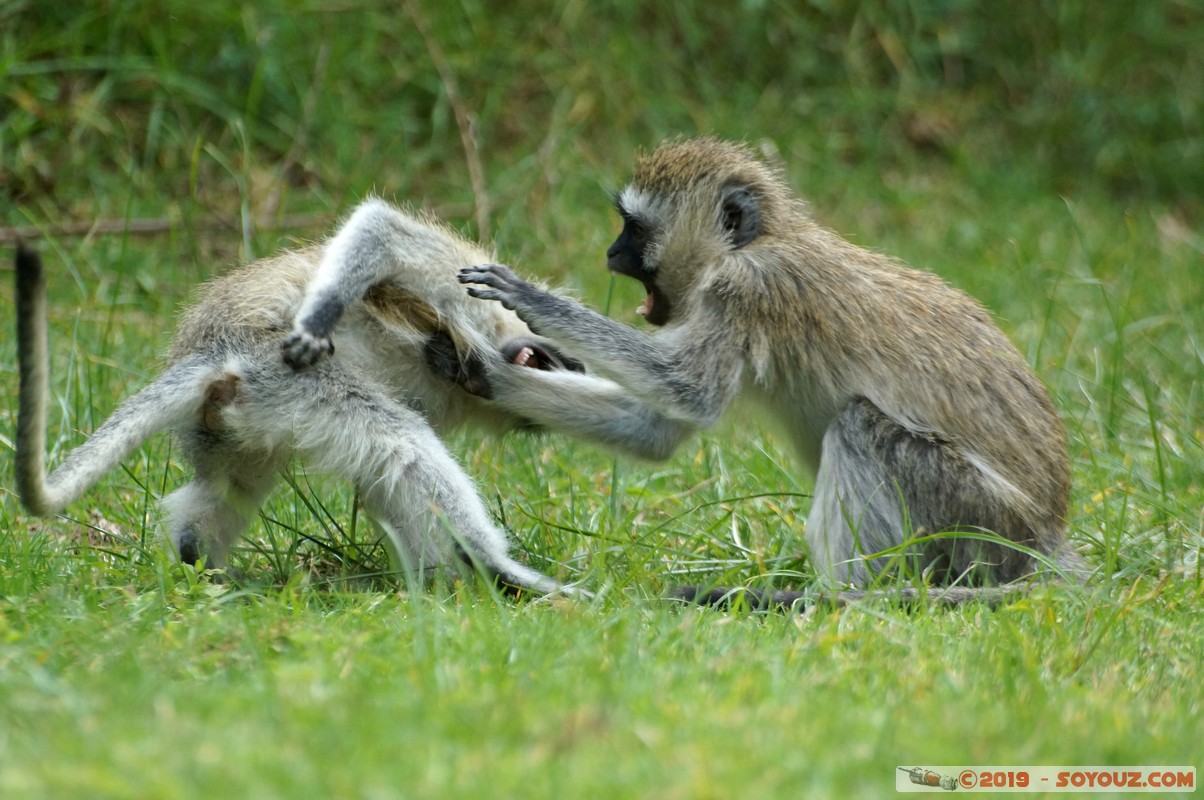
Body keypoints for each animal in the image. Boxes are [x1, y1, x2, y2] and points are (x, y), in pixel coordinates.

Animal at [455, 137, 1088, 607]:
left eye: (634, 229)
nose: (610, 255)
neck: (752, 244)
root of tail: (1046, 539)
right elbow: (656, 430)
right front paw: (484, 372)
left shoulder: (751, 288)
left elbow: (690, 390)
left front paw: (534, 299)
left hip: (978, 520)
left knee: (861, 425)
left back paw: (837, 600)